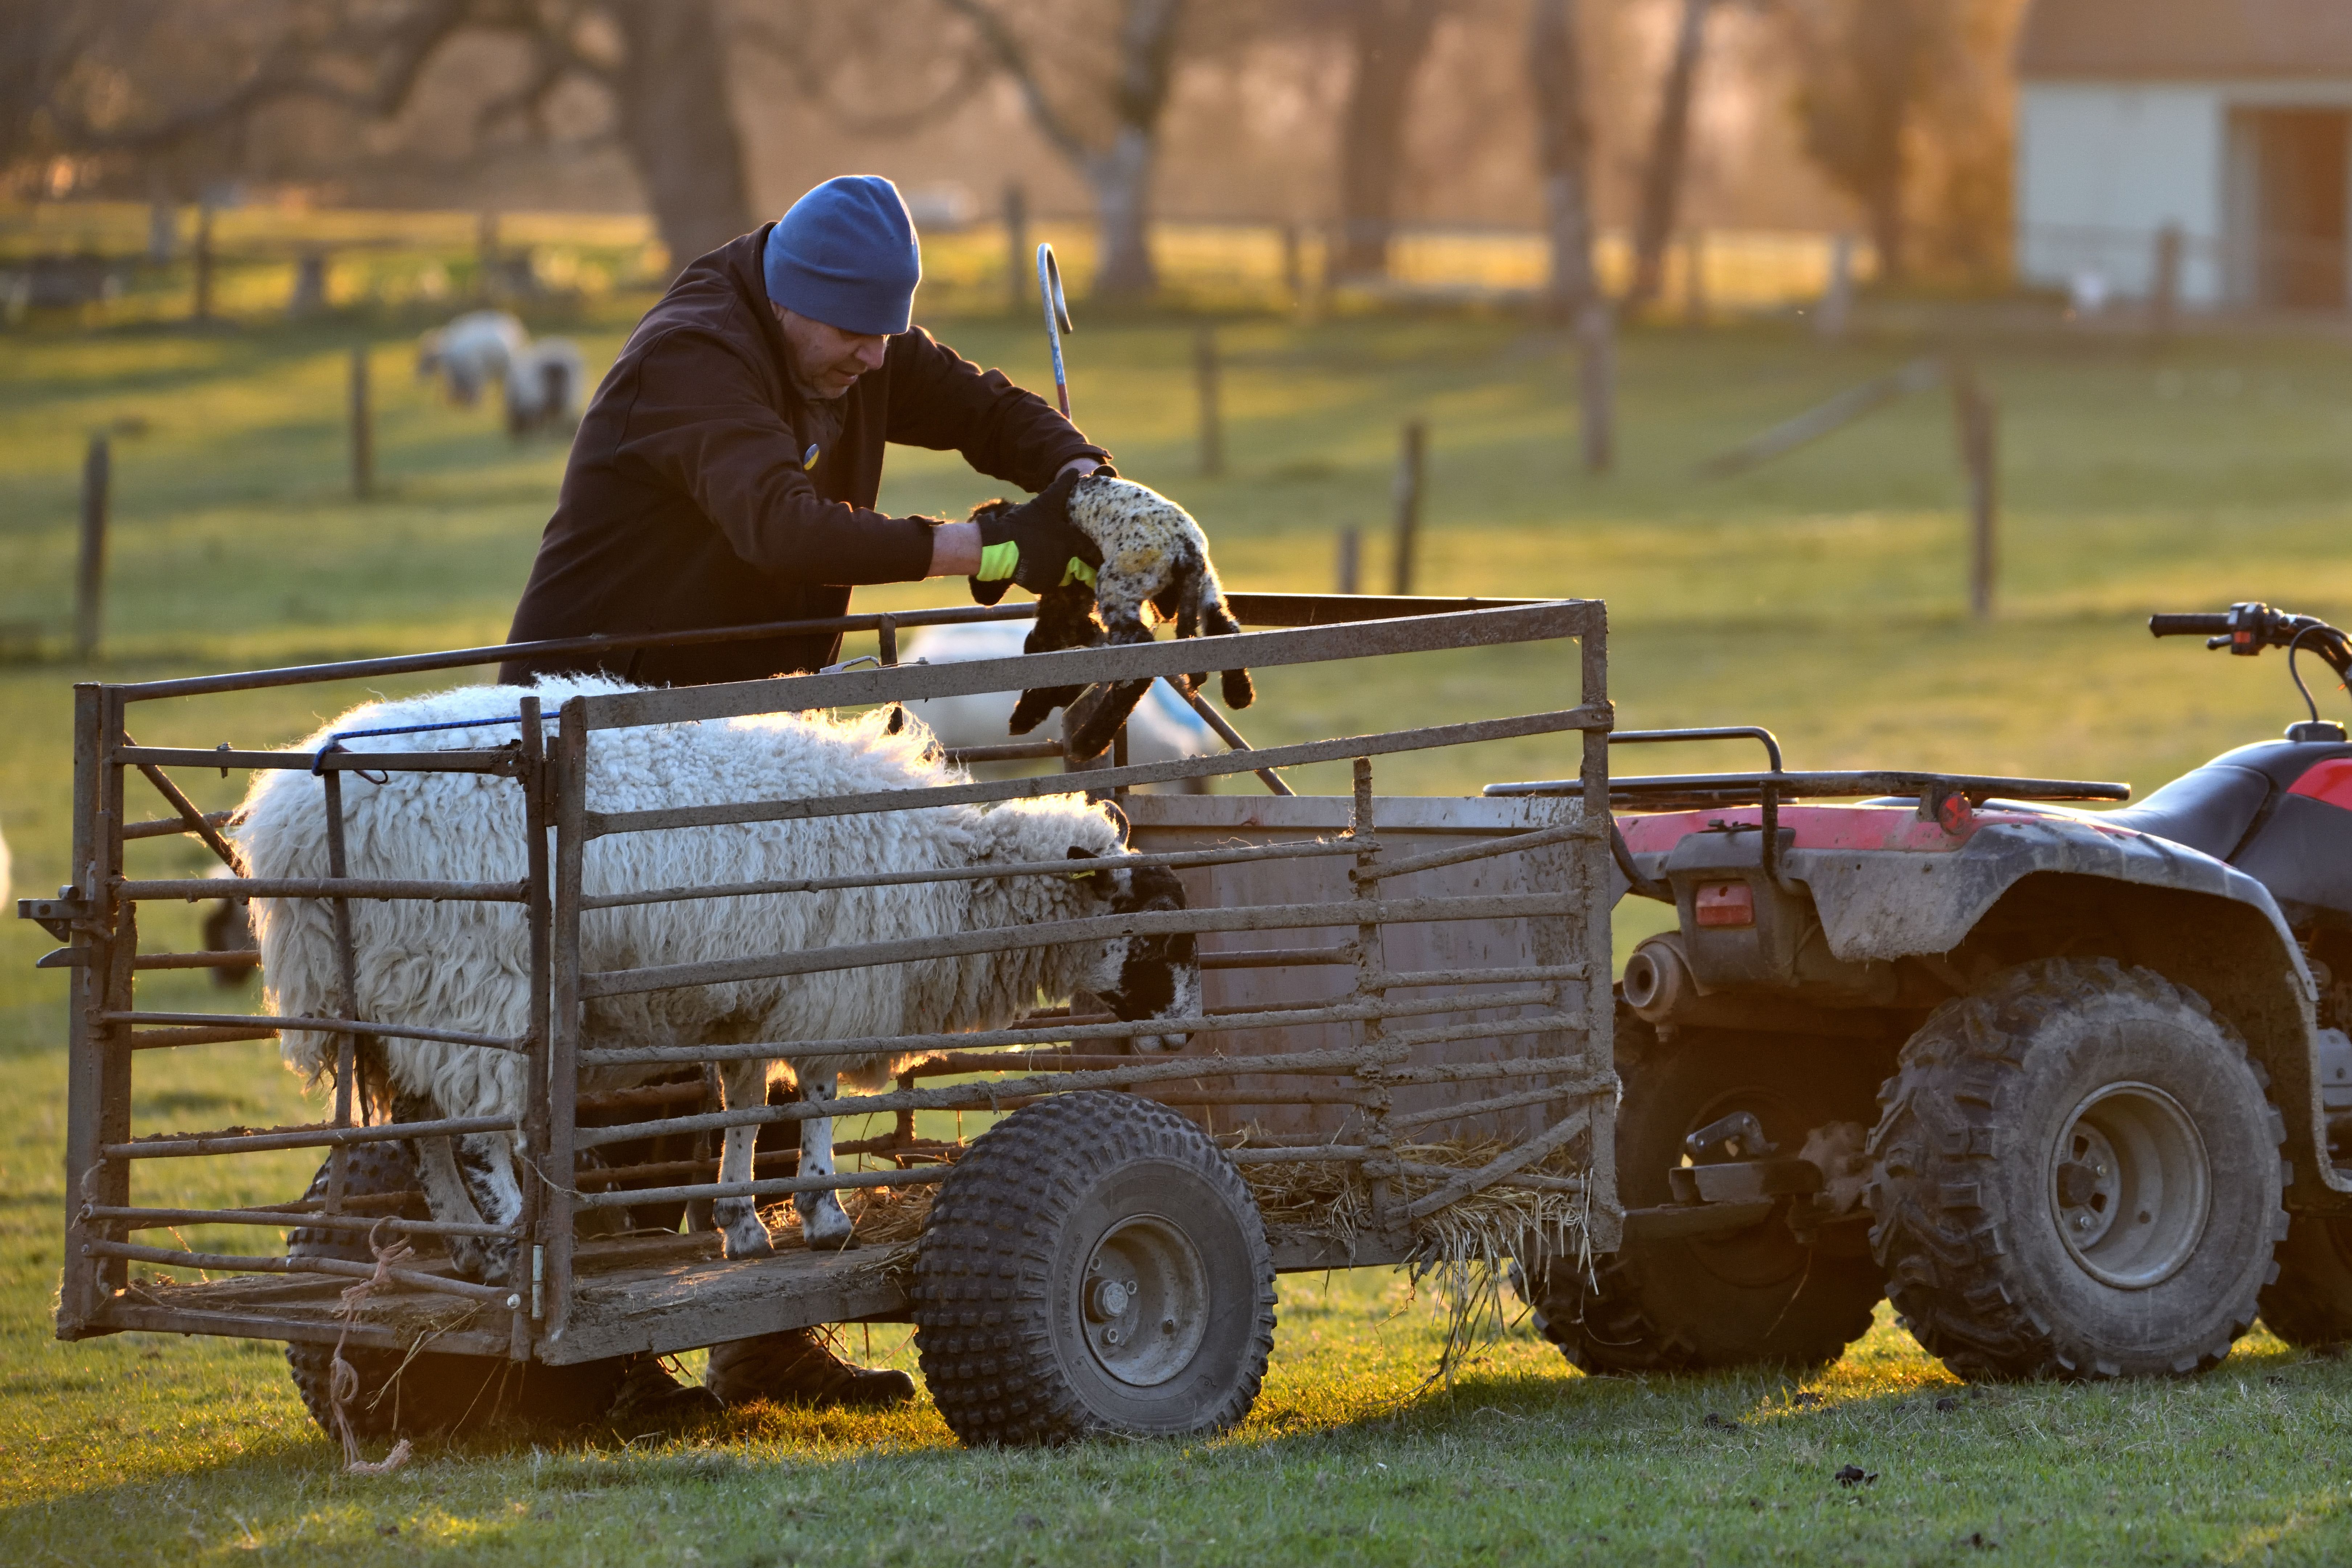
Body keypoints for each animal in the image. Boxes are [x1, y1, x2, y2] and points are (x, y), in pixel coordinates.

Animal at [234, 677, 1202, 1279]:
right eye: (1155, 937)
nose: (1188, 1035)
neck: (941, 875)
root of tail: (295, 826)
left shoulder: (755, 1003)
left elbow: (740, 1103)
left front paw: (739, 1223)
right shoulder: (824, 997)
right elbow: (812, 1105)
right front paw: (823, 1217)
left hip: (392, 995)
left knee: (419, 1126)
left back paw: (470, 1248)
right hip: (468, 981)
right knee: (471, 1129)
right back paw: (511, 1243)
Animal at [967, 475, 1253, 762]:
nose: (980, 597)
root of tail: (1186, 548)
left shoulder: (1065, 596)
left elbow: (1040, 644)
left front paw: (1027, 715)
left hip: (1117, 585)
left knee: (1138, 666)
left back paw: (1088, 742)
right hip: (1206, 586)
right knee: (1224, 626)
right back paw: (1239, 694)